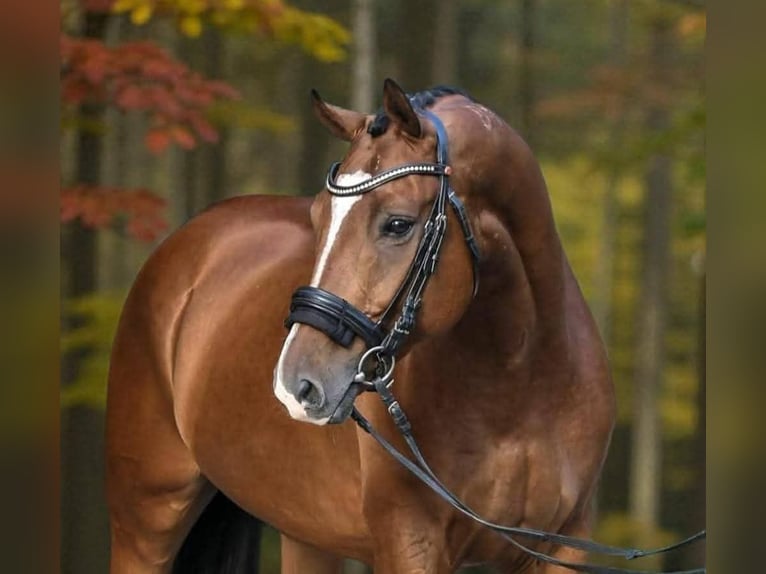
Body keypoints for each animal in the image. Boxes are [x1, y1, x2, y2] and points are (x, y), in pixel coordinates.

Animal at [105, 79, 616, 573]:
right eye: (317, 217)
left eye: (398, 224)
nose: (296, 384)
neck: (518, 383)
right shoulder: (409, 542)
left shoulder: (565, 545)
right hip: (146, 520)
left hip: (306, 534)